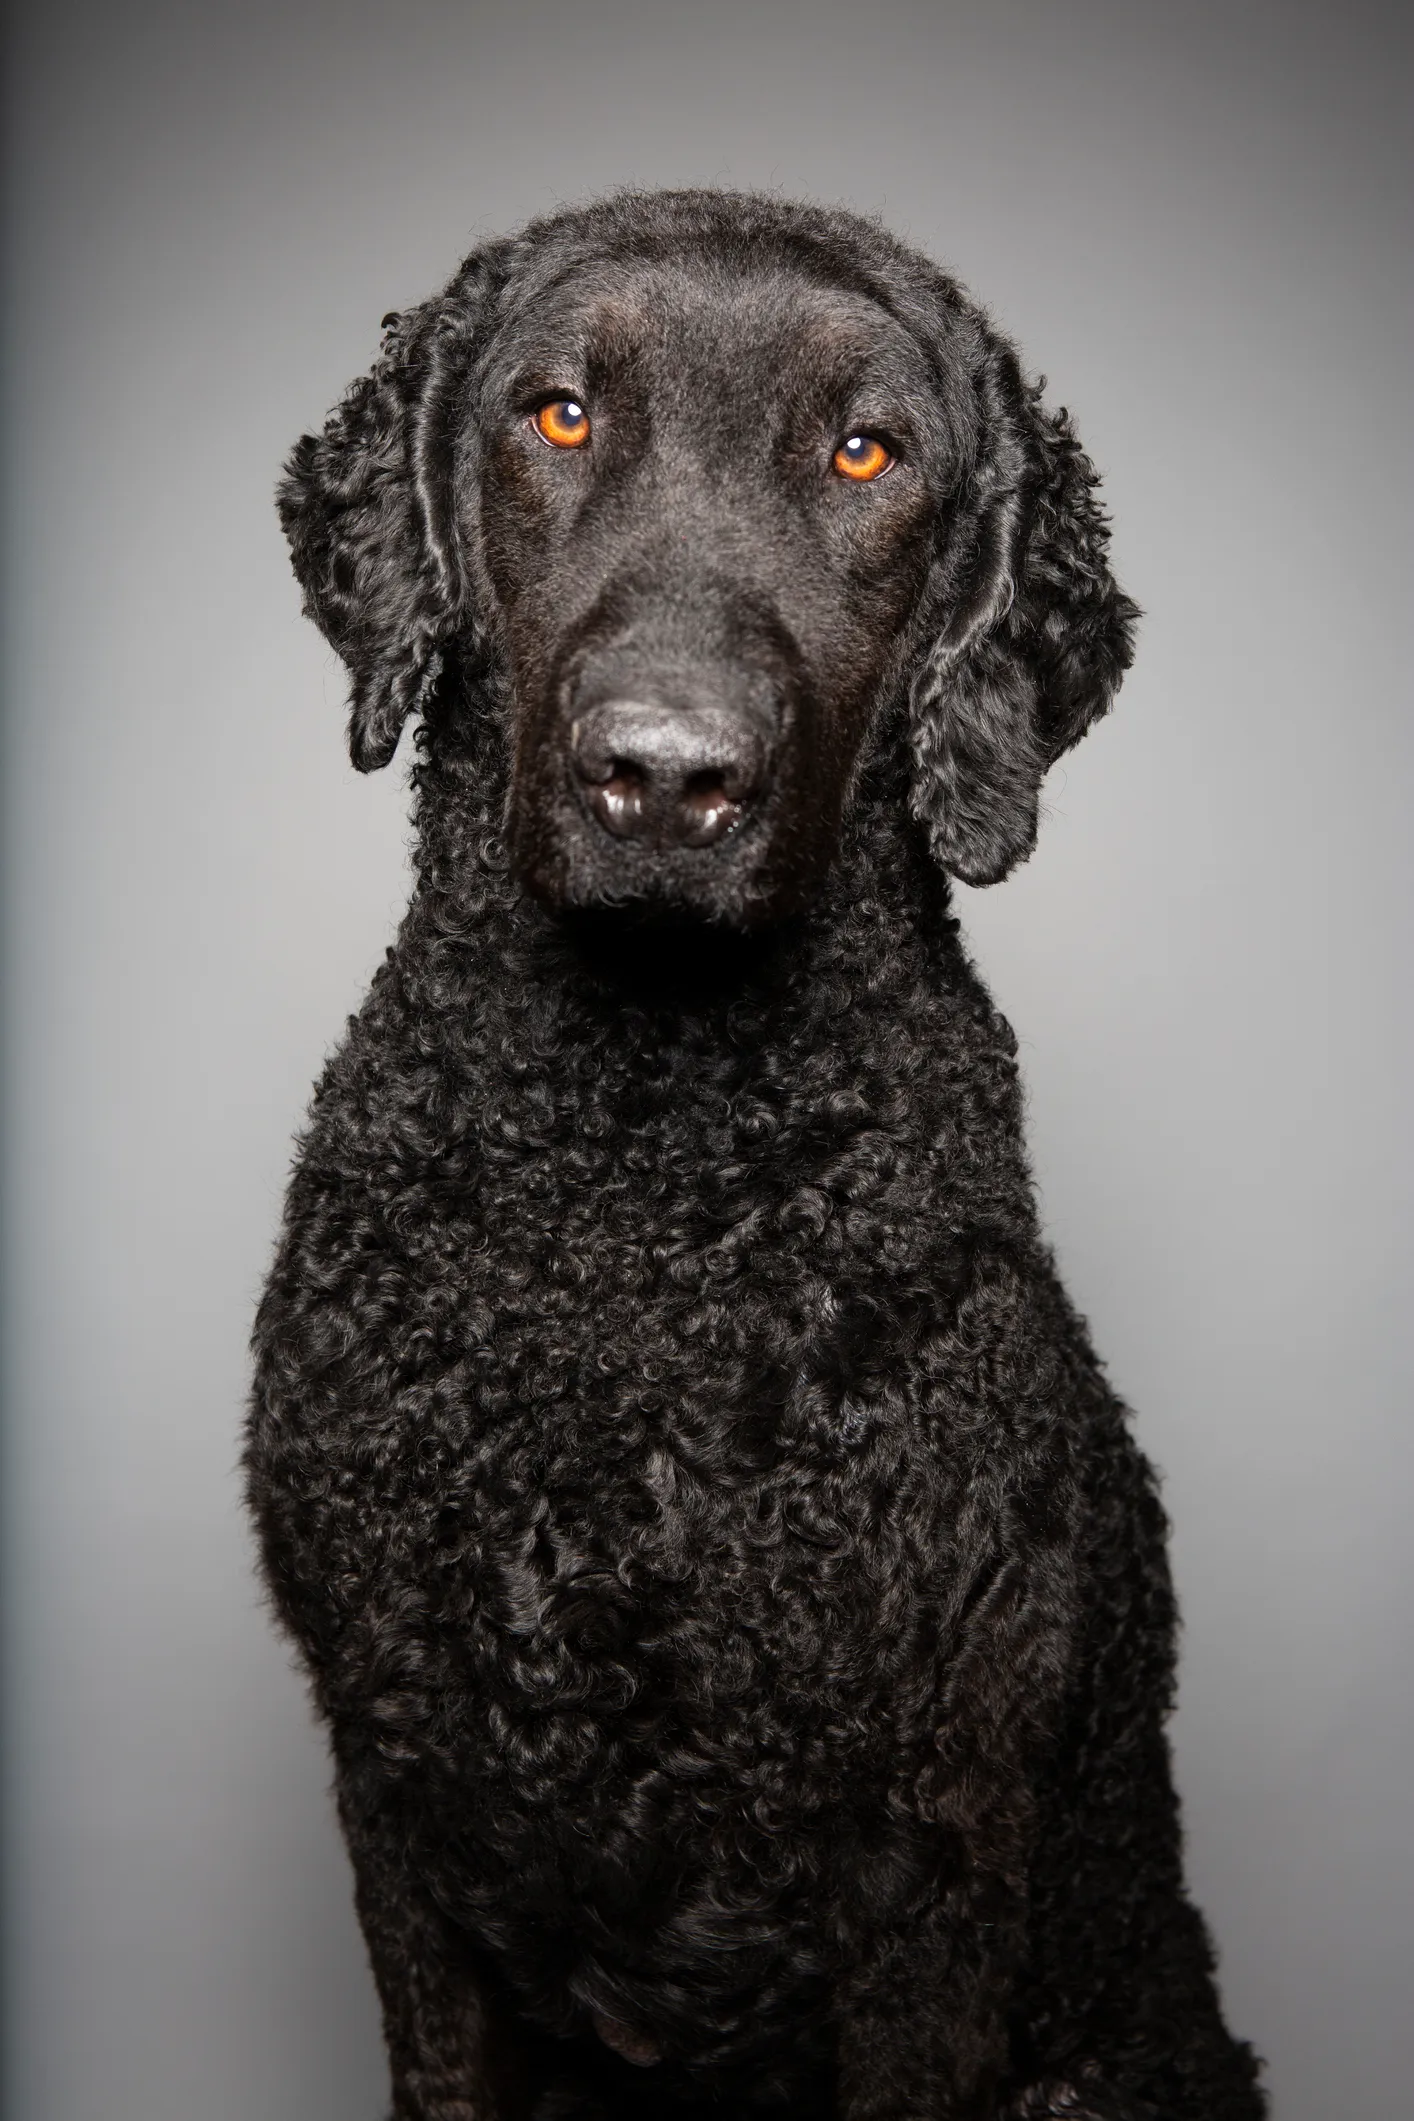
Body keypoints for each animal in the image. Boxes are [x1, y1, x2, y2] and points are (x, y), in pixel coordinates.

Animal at [245, 190, 1271, 2112]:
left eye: (867, 451)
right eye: (559, 414)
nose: (663, 776)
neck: (634, 1180)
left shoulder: (923, 1859)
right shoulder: (400, 1805)